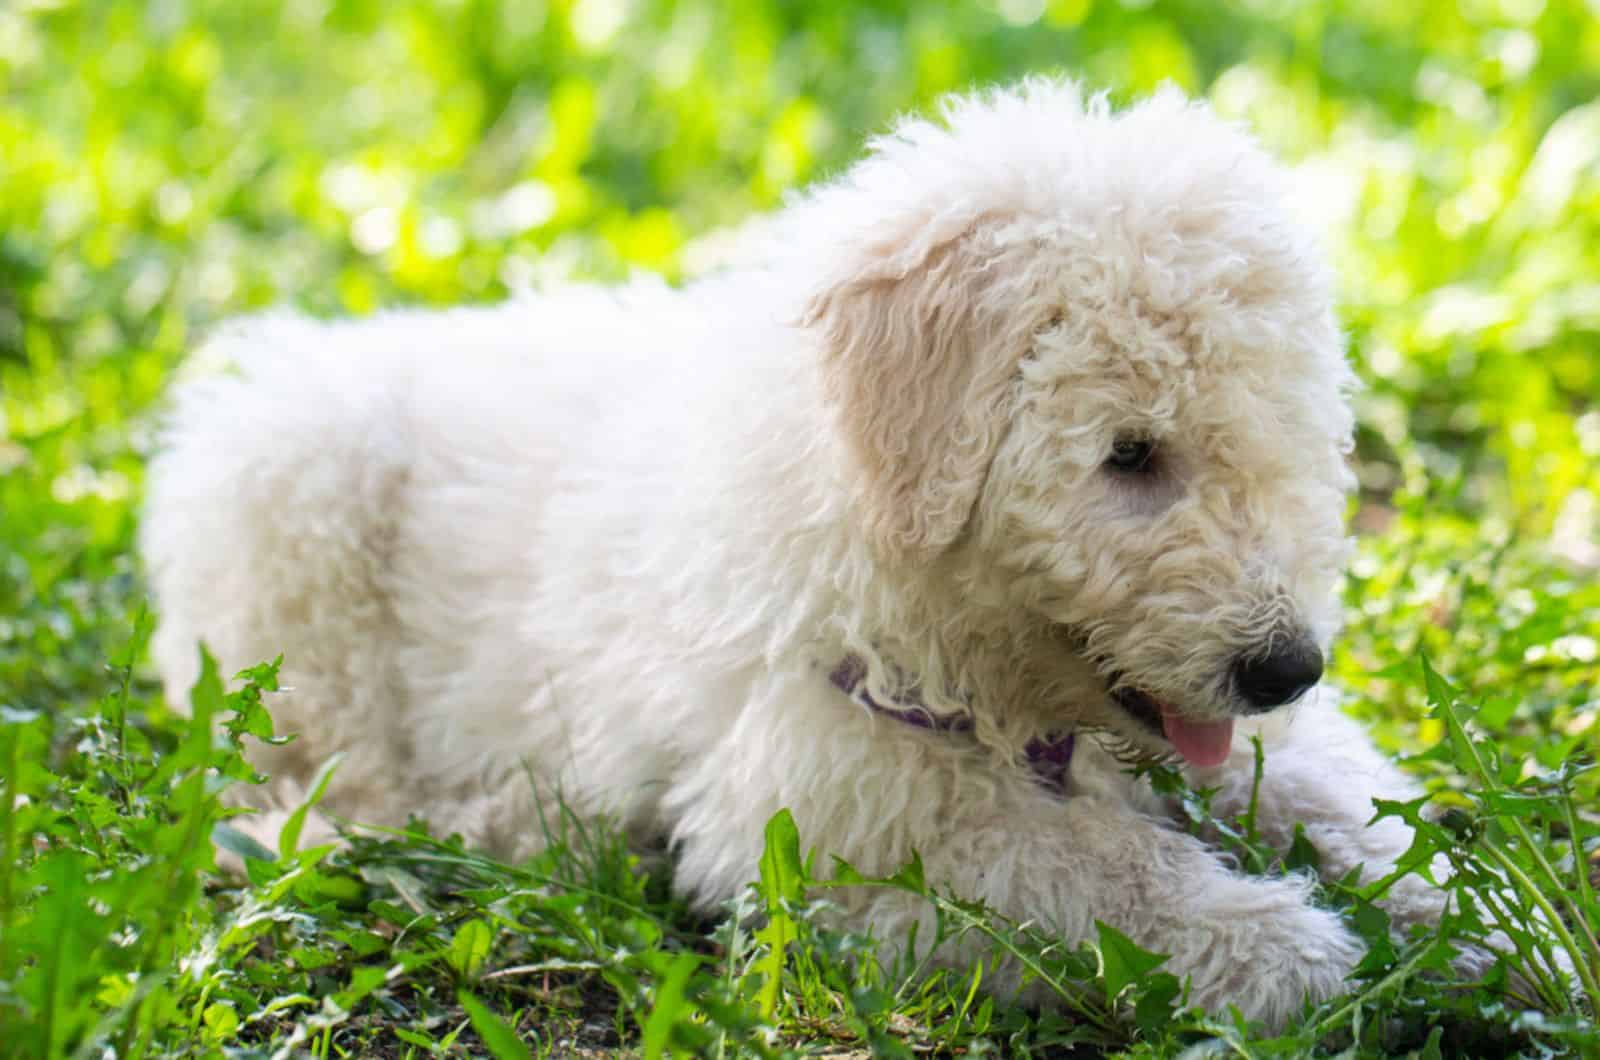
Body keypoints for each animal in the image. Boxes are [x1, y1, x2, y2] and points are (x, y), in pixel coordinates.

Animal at [147, 80, 1452, 1031]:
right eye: (1128, 454)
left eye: (1282, 438)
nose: (1285, 667)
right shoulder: (819, 823)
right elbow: (1071, 871)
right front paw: (1276, 945)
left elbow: (1335, 792)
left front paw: (1467, 915)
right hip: (285, 510)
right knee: (314, 784)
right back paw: (489, 825)